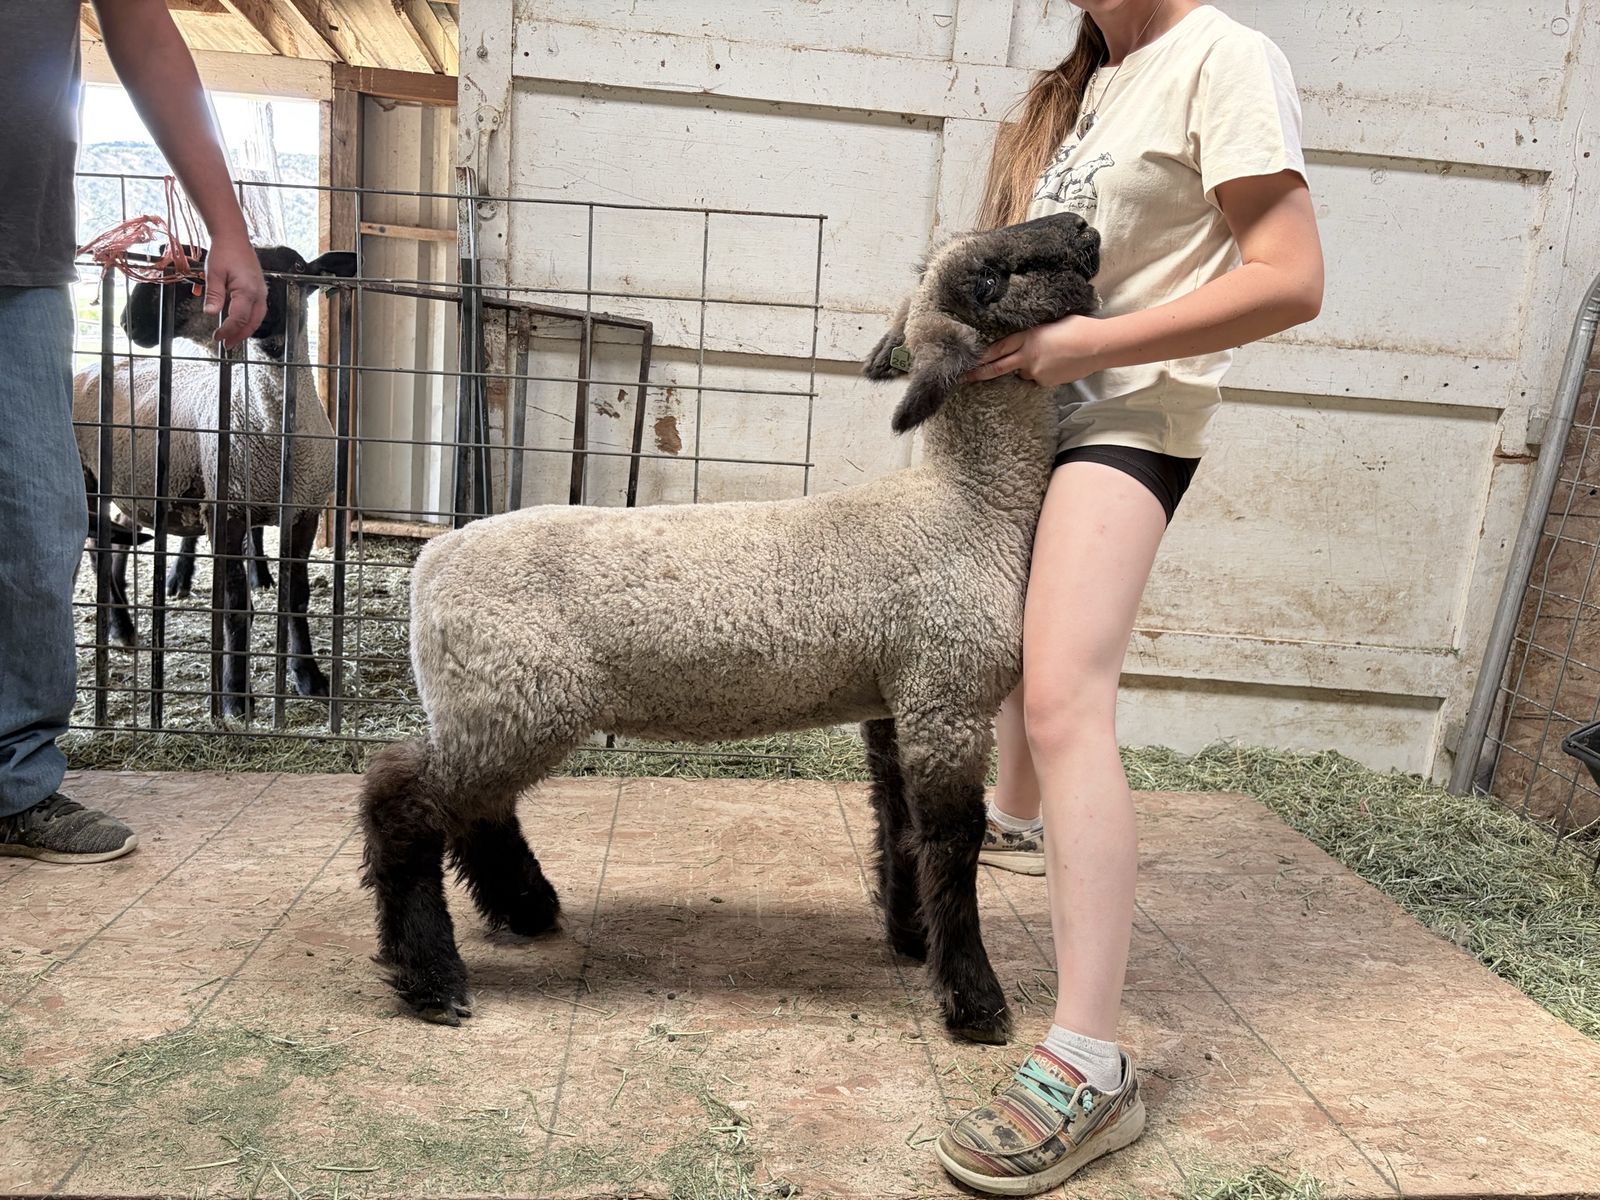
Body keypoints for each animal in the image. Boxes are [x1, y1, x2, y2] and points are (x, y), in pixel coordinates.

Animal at [74, 245, 356, 717]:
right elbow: (235, 606)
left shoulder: (305, 512)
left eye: (298, 268)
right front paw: (236, 696)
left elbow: (296, 598)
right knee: (97, 545)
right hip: (89, 475)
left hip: (133, 486)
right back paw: (120, 625)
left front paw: (309, 677)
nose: (135, 318)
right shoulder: (228, 510)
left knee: (115, 543)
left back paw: (124, 626)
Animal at [358, 210, 1102, 1043]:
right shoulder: (950, 693)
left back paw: (527, 910)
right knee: (404, 800)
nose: (1082, 226)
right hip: (517, 696)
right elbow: (951, 841)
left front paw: (911, 941)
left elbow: (899, 823)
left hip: (497, 702)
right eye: (988, 278)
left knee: (477, 810)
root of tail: (432, 563)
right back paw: (432, 979)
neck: (967, 504)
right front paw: (975, 1001)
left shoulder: (897, 697)